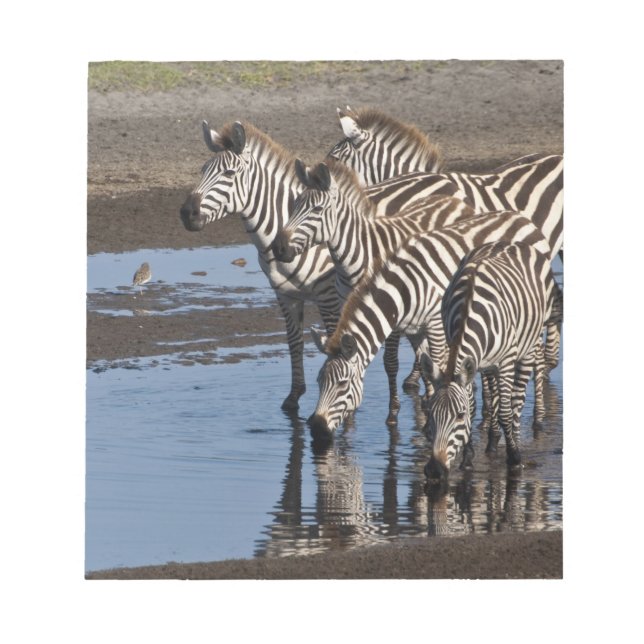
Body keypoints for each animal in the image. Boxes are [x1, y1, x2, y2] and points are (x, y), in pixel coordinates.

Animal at [307, 212, 552, 441]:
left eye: (342, 384)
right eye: (318, 381)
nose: (317, 429)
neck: (403, 290)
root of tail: (524, 219)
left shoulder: (435, 325)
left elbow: (437, 363)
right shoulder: (415, 330)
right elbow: (427, 368)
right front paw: (427, 416)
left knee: (538, 357)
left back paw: (539, 417)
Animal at [420, 241, 561, 483]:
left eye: (459, 416)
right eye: (430, 413)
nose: (434, 471)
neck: (468, 307)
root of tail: (511, 242)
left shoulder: (505, 360)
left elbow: (505, 411)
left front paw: (514, 457)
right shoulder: (469, 360)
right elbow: (475, 404)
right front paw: (468, 458)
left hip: (528, 343)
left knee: (517, 399)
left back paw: (519, 434)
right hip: (487, 363)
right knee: (494, 394)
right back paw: (493, 441)